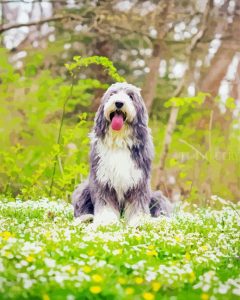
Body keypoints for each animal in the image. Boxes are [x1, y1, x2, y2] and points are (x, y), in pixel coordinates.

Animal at [72, 82, 172, 225]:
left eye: (130, 96)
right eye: (112, 94)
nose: (119, 103)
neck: (119, 140)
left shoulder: (139, 183)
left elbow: (138, 206)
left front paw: (139, 221)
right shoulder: (103, 181)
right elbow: (105, 204)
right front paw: (106, 220)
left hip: (157, 196)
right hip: (84, 188)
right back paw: (86, 217)